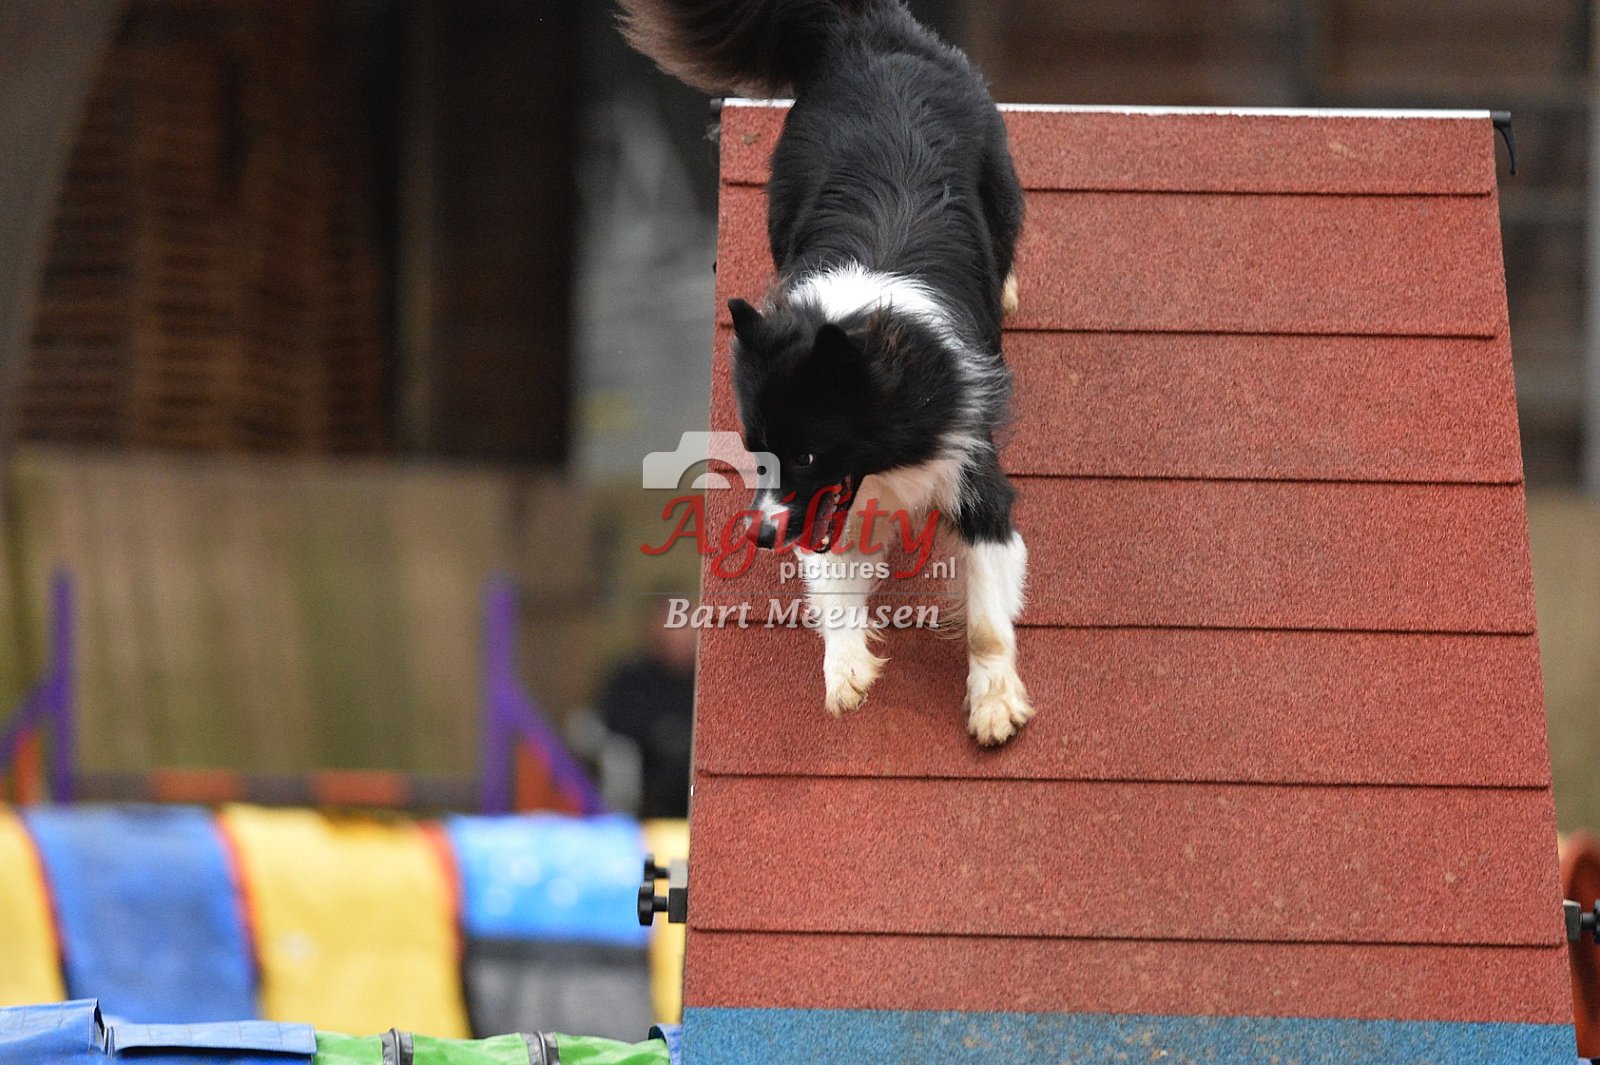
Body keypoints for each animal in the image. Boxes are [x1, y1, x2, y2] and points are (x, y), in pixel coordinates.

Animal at [620, 0, 1033, 745]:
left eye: (811, 451)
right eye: (757, 454)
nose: (759, 536)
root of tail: (866, 28)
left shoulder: (971, 464)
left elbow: (988, 615)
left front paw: (992, 707)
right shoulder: (820, 509)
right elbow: (835, 579)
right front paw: (847, 673)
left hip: (999, 176)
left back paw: (1009, 290)